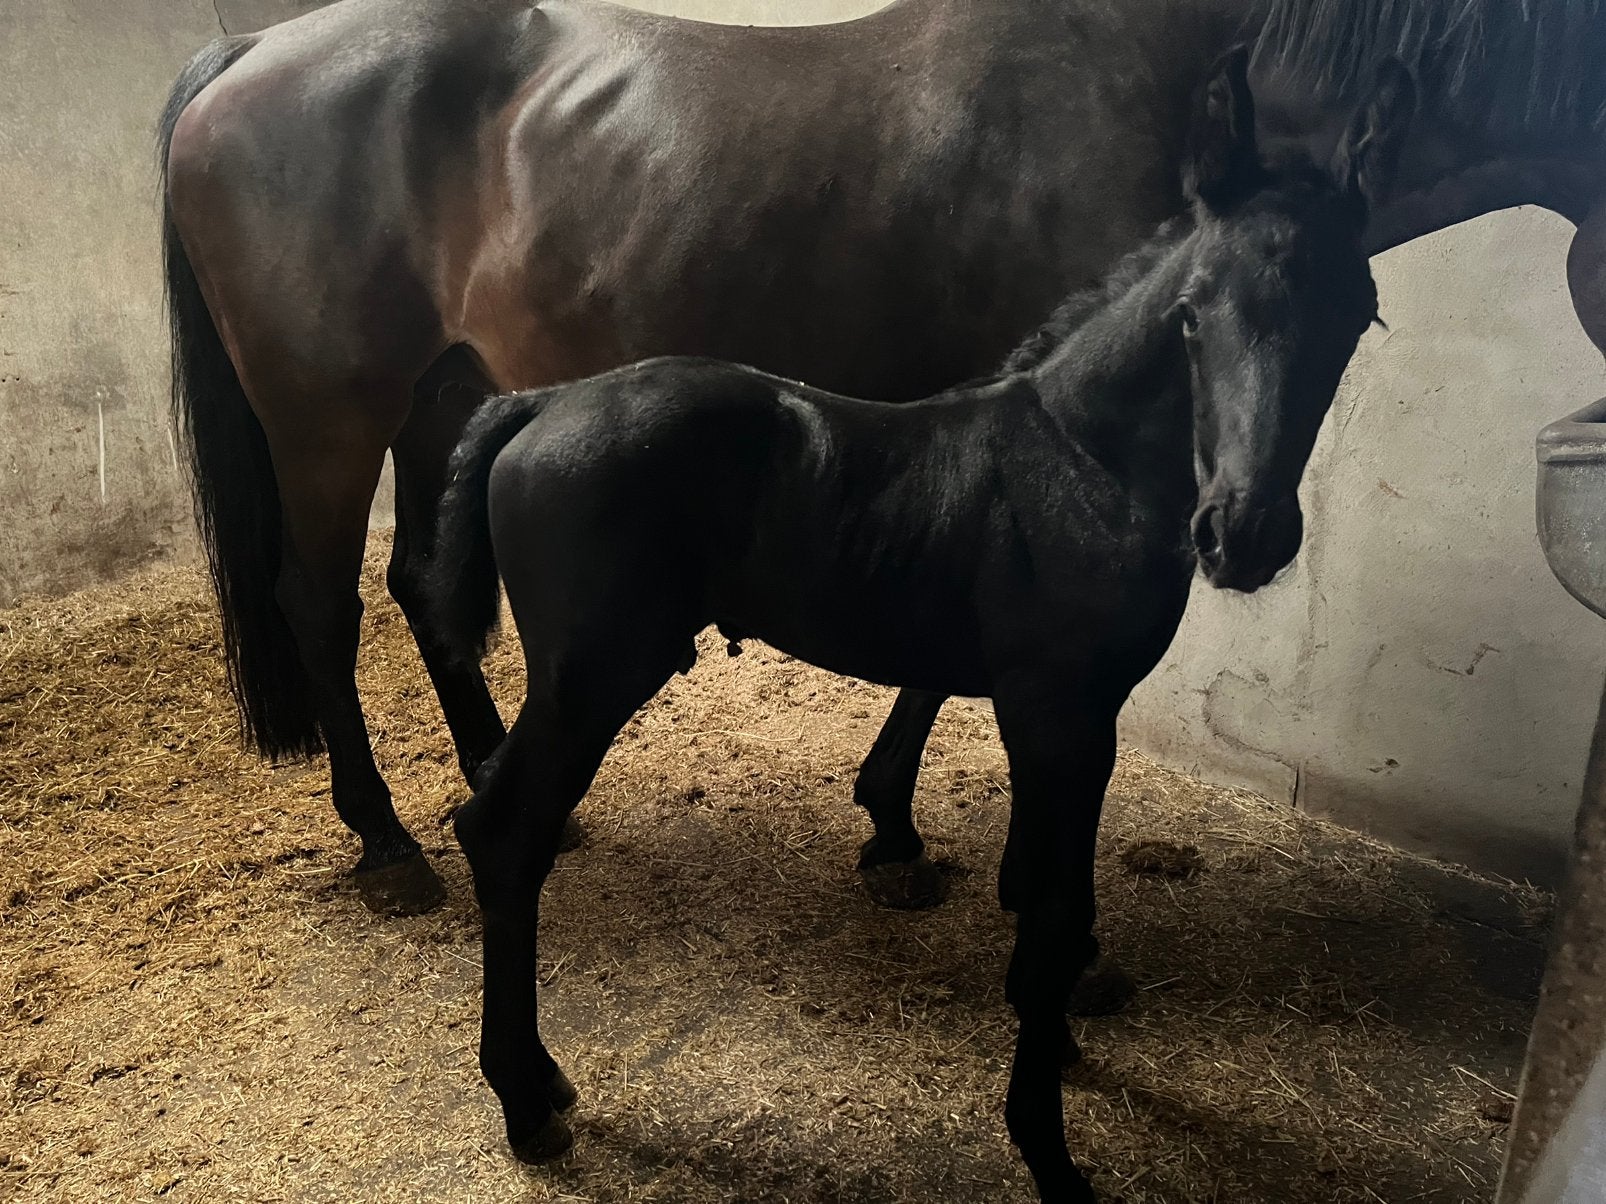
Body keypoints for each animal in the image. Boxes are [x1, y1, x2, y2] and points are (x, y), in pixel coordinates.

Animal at [158, 0, 1606, 924]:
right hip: (328, 415)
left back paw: (499, 779)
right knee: (321, 603)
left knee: (426, 582)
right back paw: (389, 844)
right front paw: (906, 837)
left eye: (1360, 318)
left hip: (446, 393)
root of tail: (248, 47)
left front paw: (890, 824)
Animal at [424, 52, 1407, 1202]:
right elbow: (1053, 915)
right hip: (593, 676)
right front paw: (1047, 1149)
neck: (1079, 462)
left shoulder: (1069, 719)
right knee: (506, 835)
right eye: (1193, 314)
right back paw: (525, 1100)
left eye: (1359, 313)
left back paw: (539, 1078)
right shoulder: (1059, 713)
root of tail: (535, 406)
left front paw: (1060, 1049)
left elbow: (1042, 895)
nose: (1243, 534)